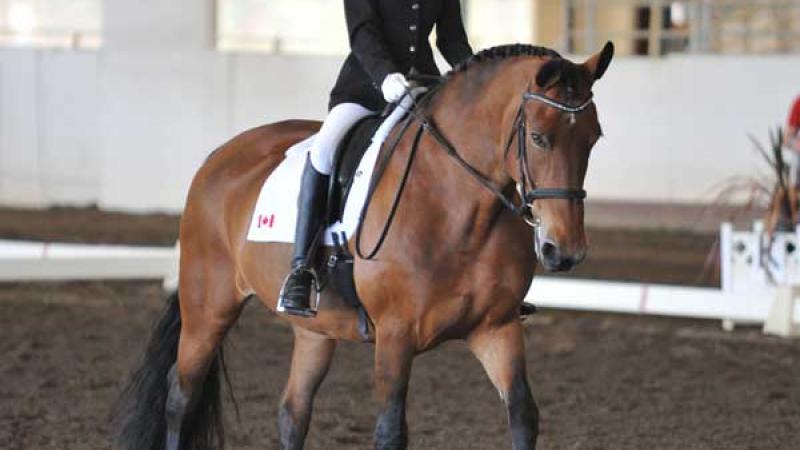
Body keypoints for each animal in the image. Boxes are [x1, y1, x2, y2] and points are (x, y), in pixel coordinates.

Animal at [111, 44, 612, 450]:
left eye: (593, 139)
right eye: (538, 138)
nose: (565, 251)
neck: (459, 208)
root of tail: (219, 156)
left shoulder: (497, 327)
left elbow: (523, 415)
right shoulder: (394, 335)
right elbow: (390, 430)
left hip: (313, 329)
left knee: (292, 412)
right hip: (209, 305)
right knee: (181, 396)